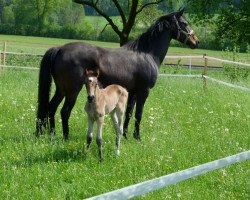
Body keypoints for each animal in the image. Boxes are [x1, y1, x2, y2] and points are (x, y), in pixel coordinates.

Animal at [36, 8, 199, 140]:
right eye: (184, 23)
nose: (196, 41)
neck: (147, 53)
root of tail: (60, 49)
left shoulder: (132, 92)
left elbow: (128, 114)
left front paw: (125, 135)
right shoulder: (143, 91)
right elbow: (138, 114)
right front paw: (137, 137)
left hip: (61, 89)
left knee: (51, 108)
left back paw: (52, 135)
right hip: (72, 91)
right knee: (64, 111)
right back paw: (65, 137)